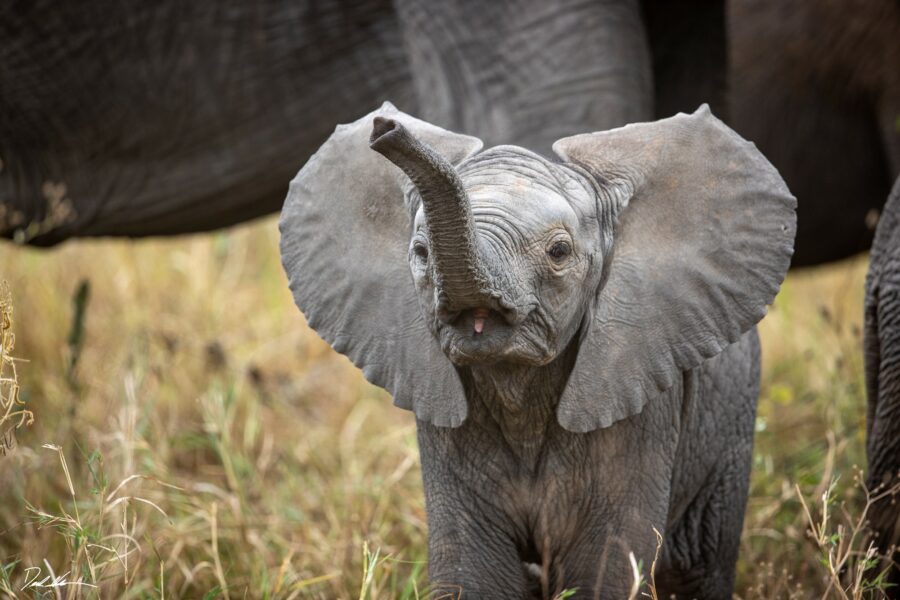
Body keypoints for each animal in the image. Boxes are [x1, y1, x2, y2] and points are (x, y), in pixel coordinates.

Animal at [282, 103, 796, 596]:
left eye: (560, 252)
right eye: (422, 253)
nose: (384, 127)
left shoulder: (639, 398)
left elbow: (605, 568)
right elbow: (474, 573)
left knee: (702, 566)